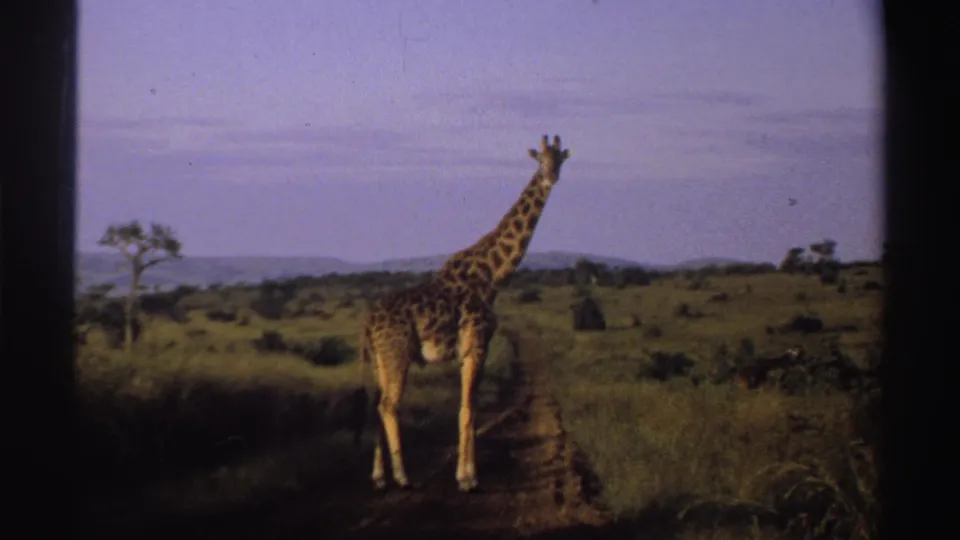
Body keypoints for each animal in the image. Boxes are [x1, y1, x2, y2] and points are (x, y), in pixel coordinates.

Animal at [355, 134, 571, 492]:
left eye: (560, 160)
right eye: (540, 160)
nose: (551, 177)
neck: (493, 275)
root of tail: (367, 323)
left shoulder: (470, 349)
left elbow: (471, 408)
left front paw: (466, 474)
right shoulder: (476, 343)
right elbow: (468, 409)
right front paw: (468, 478)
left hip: (377, 360)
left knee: (375, 406)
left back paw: (378, 477)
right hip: (396, 355)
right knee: (388, 406)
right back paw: (402, 477)